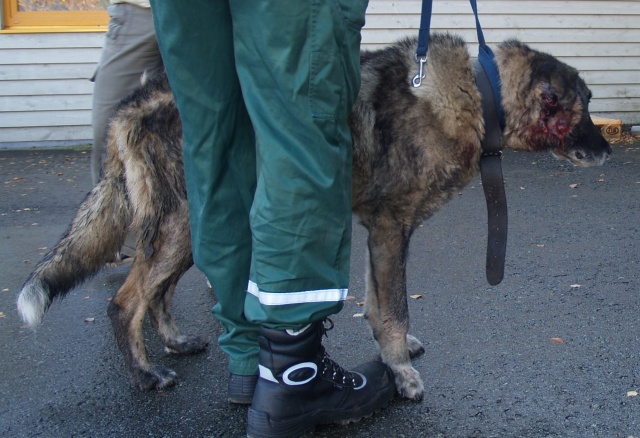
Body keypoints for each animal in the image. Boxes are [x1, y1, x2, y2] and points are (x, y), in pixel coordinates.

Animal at [17, 33, 611, 399]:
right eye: (582, 107)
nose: (608, 150)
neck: (475, 91)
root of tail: (132, 105)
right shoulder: (391, 229)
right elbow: (395, 310)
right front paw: (401, 374)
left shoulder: (382, 232)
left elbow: (377, 304)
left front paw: (394, 357)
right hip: (180, 225)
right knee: (125, 302)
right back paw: (145, 374)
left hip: (187, 229)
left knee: (157, 293)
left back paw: (176, 342)